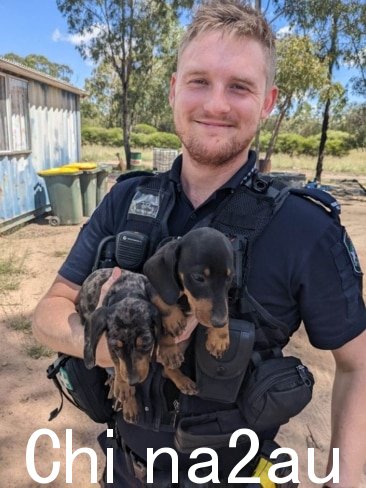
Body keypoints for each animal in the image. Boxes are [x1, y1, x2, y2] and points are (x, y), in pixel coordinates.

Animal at [76, 266, 159, 424]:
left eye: (146, 343)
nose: (133, 382)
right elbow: (117, 363)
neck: (127, 288)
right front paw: (123, 388)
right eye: (116, 347)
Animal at [143, 227, 234, 390]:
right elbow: (163, 302)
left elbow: (225, 306)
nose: (219, 323)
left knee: (167, 370)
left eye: (229, 277)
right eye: (198, 277)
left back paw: (183, 381)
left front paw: (220, 336)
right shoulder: (151, 289)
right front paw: (173, 322)